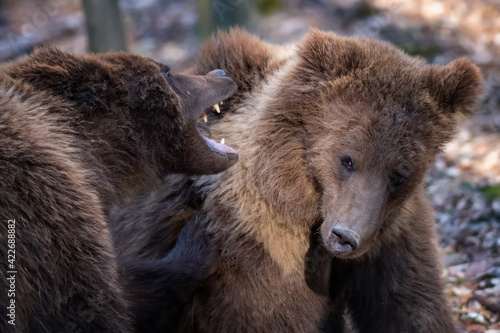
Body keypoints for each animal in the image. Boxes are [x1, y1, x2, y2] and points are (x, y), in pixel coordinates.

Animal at [111, 29, 482, 332]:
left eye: (398, 175)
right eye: (348, 159)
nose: (346, 237)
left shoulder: (391, 236)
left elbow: (410, 307)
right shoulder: (256, 244)